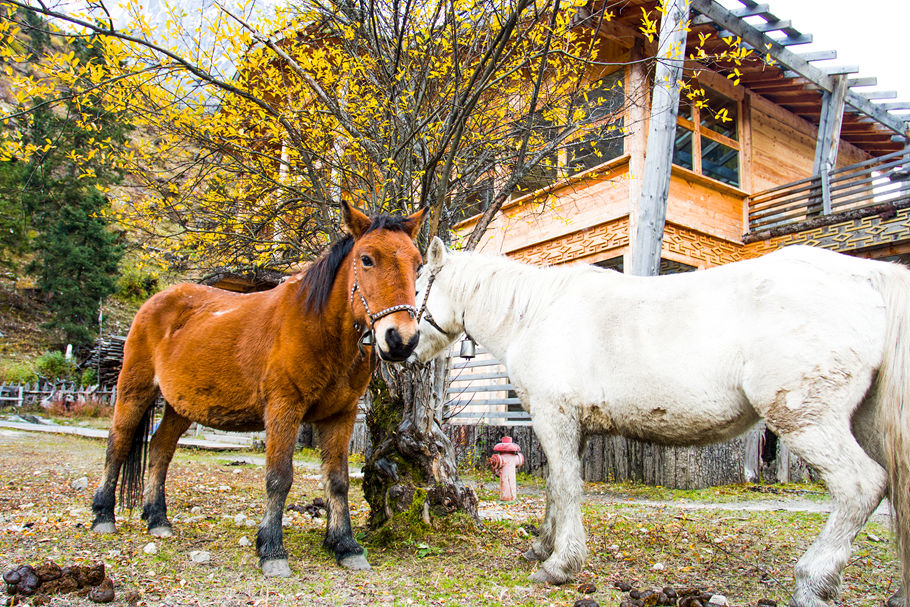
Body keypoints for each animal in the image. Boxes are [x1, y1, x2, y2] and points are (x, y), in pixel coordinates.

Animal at [94, 203, 430, 576]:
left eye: (417, 264)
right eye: (367, 259)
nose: (401, 340)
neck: (319, 326)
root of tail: (158, 300)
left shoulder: (340, 416)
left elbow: (338, 480)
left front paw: (345, 545)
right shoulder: (284, 408)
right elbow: (279, 477)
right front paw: (272, 550)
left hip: (179, 407)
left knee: (160, 450)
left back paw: (157, 520)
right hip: (134, 390)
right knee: (118, 444)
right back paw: (103, 515)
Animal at [412, 238, 910, 607]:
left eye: (416, 289)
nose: (396, 344)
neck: (534, 313)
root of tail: (869, 276)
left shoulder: (555, 418)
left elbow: (567, 488)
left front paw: (559, 565)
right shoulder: (569, 428)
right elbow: (557, 486)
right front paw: (541, 547)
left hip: (809, 422)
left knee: (861, 486)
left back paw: (813, 581)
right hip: (865, 425)